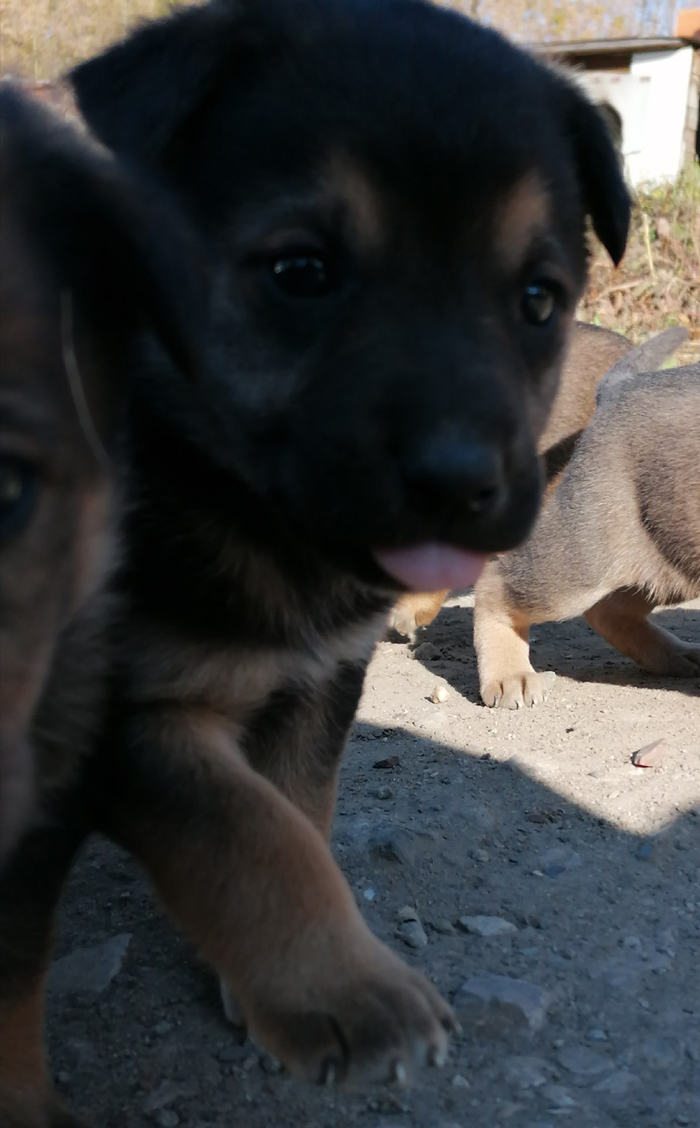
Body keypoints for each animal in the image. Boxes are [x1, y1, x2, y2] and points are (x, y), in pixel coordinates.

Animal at [1, 0, 629, 1120]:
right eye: (301, 272)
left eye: (537, 299)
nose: (462, 481)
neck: (232, 507)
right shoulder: (126, 714)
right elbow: (248, 836)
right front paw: (346, 988)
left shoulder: (319, 680)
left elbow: (297, 813)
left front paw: (275, 980)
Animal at [475, 360, 700, 708]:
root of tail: (620, 386)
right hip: (585, 554)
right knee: (495, 583)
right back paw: (510, 676)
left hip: (668, 554)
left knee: (606, 612)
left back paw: (674, 655)